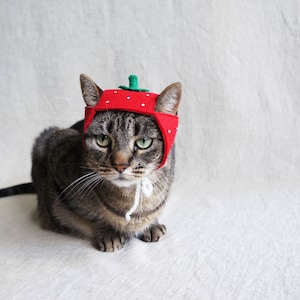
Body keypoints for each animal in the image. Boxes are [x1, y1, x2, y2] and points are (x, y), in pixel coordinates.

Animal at [1, 74, 182, 251]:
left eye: (144, 142)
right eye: (103, 139)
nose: (120, 165)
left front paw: (151, 225)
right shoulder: (55, 149)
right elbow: (91, 217)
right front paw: (108, 233)